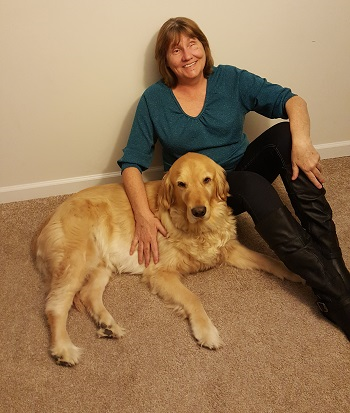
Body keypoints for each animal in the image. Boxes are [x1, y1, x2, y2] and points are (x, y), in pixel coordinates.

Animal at [36, 153, 304, 366]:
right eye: (181, 184)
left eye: (206, 180)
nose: (199, 211)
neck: (195, 227)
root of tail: (50, 217)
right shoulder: (161, 273)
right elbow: (193, 298)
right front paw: (207, 332)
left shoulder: (229, 249)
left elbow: (268, 259)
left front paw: (293, 272)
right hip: (78, 260)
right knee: (55, 306)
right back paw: (63, 349)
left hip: (101, 265)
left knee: (88, 294)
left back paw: (108, 325)